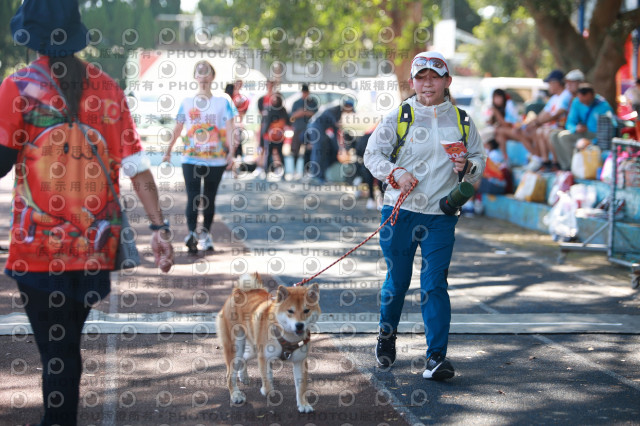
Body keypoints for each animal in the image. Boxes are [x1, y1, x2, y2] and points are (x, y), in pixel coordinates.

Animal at [219, 272, 320, 412]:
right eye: (290, 311)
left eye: (306, 310)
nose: (299, 325)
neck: (287, 337)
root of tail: (239, 291)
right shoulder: (264, 357)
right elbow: (267, 383)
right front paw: (266, 389)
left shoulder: (300, 361)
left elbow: (301, 387)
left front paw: (303, 404)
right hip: (236, 347)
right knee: (230, 374)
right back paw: (235, 395)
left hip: (253, 349)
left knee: (243, 358)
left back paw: (243, 376)